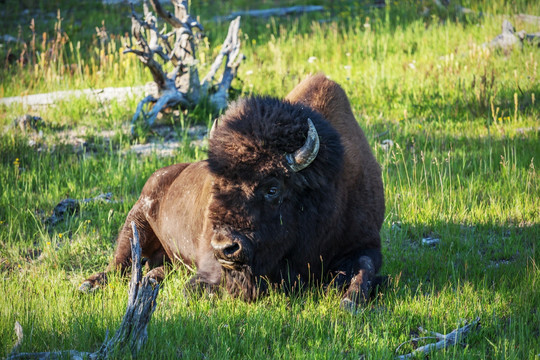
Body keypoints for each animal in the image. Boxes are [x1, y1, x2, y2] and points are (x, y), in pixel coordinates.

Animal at [80, 74, 384, 310]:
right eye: (217, 184)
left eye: (273, 187)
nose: (225, 247)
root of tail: (160, 175)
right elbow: (202, 285)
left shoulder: (365, 242)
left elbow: (365, 269)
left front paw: (348, 301)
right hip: (135, 222)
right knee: (120, 265)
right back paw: (88, 285)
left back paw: (152, 277)